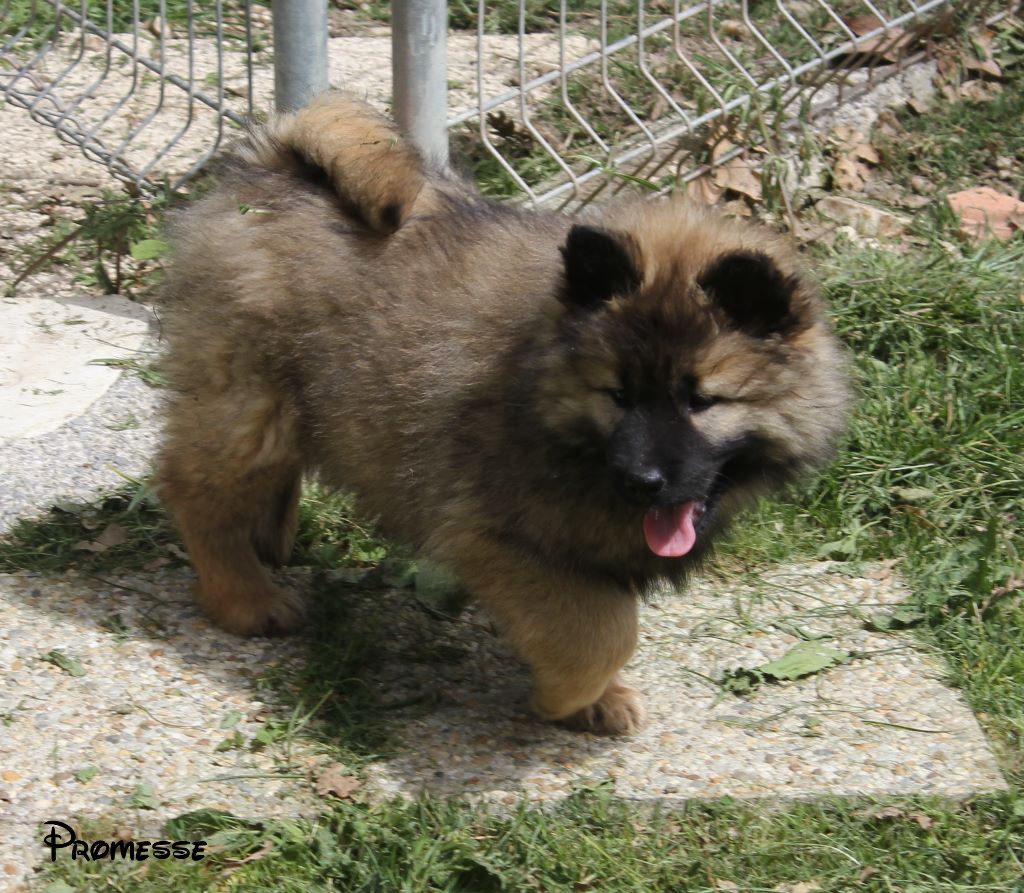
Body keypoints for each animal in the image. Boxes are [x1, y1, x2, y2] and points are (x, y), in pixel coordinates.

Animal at [157, 92, 847, 733]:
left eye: (701, 400)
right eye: (617, 394)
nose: (640, 481)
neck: (544, 402)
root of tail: (270, 165)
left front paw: (595, 702)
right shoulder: (498, 537)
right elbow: (602, 634)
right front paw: (565, 699)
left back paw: (270, 541)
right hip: (247, 402)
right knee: (196, 489)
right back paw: (243, 597)